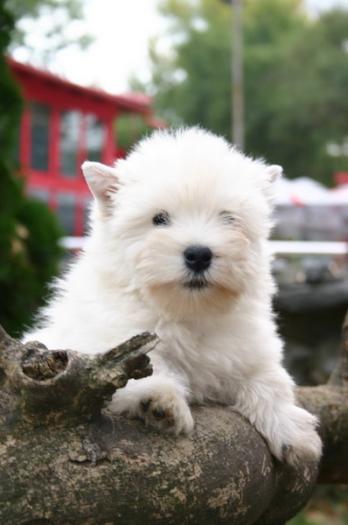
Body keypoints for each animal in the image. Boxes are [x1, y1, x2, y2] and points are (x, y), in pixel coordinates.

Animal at [26, 129, 320, 464]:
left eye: (228, 218)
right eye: (159, 219)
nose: (199, 254)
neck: (186, 309)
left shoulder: (248, 349)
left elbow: (271, 381)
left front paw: (293, 432)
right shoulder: (103, 352)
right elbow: (142, 367)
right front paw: (159, 400)